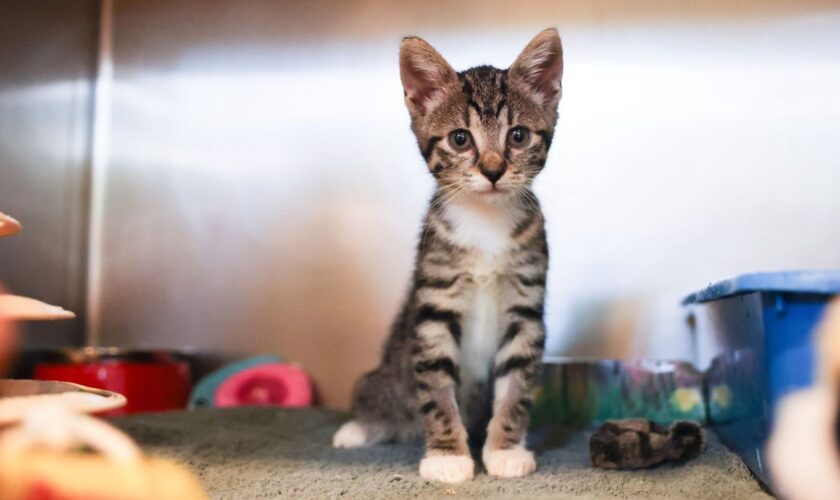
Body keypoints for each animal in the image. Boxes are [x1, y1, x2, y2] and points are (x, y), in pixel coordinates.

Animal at [332, 28, 560, 484]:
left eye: (518, 136)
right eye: (460, 138)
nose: (492, 170)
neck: (486, 222)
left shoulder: (525, 310)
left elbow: (517, 386)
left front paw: (505, 449)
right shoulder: (434, 309)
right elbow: (437, 390)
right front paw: (448, 457)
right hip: (384, 378)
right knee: (379, 399)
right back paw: (358, 429)